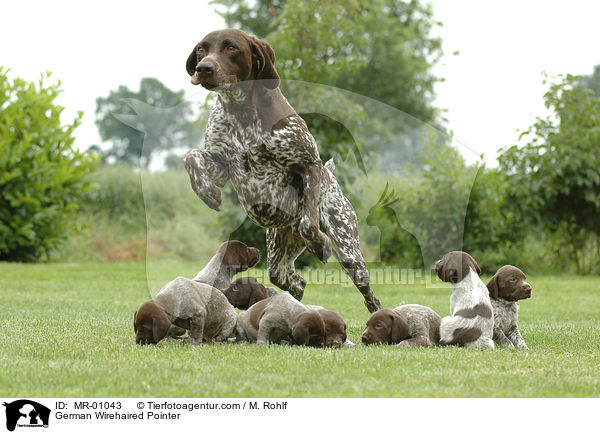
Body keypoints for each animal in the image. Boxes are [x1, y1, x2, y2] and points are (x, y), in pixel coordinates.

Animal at [183, 28, 382, 314]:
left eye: (231, 47)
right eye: (202, 49)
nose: (204, 68)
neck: (241, 111)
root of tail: (335, 182)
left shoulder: (309, 164)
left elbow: (309, 224)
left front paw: (320, 244)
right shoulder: (221, 166)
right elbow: (192, 157)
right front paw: (206, 191)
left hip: (349, 252)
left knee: (368, 294)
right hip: (279, 254)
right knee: (294, 280)